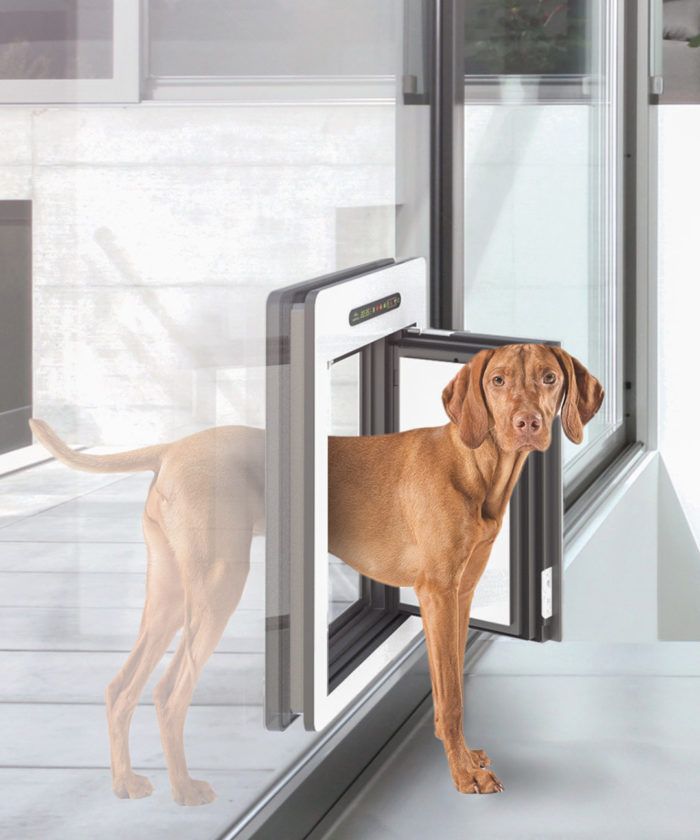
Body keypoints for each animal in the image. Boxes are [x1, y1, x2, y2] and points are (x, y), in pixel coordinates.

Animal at [27, 344, 600, 804]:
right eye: (498, 380)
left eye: (549, 378)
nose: (527, 424)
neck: (475, 465)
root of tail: (171, 448)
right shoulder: (436, 595)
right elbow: (452, 698)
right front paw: (463, 777)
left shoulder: (460, 595)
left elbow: (451, 687)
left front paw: (464, 757)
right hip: (219, 584)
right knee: (168, 692)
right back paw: (185, 789)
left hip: (170, 591)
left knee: (120, 687)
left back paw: (124, 781)